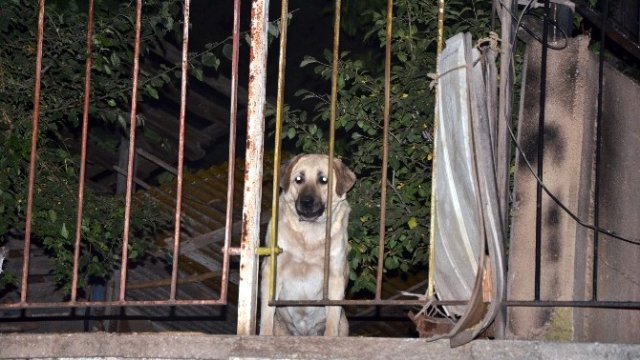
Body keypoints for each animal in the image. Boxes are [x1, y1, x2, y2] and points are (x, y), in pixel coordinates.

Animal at [258, 153, 356, 336]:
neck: (309, 235)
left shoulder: (335, 277)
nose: (306, 201)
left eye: (323, 180)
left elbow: (332, 322)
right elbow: (266, 316)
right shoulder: (272, 271)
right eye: (299, 179)